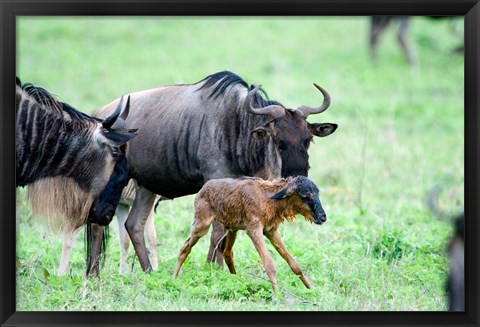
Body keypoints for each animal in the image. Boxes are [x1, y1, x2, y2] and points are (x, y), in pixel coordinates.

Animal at [172, 176, 326, 290]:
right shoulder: (253, 230)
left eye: (317, 192)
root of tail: (203, 189)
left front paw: (311, 289)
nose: (323, 217)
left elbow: (294, 263)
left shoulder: (271, 231)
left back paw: (235, 279)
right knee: (185, 248)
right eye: (305, 195)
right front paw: (277, 293)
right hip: (202, 226)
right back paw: (173, 278)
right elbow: (269, 264)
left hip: (232, 229)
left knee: (228, 253)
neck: (267, 197)